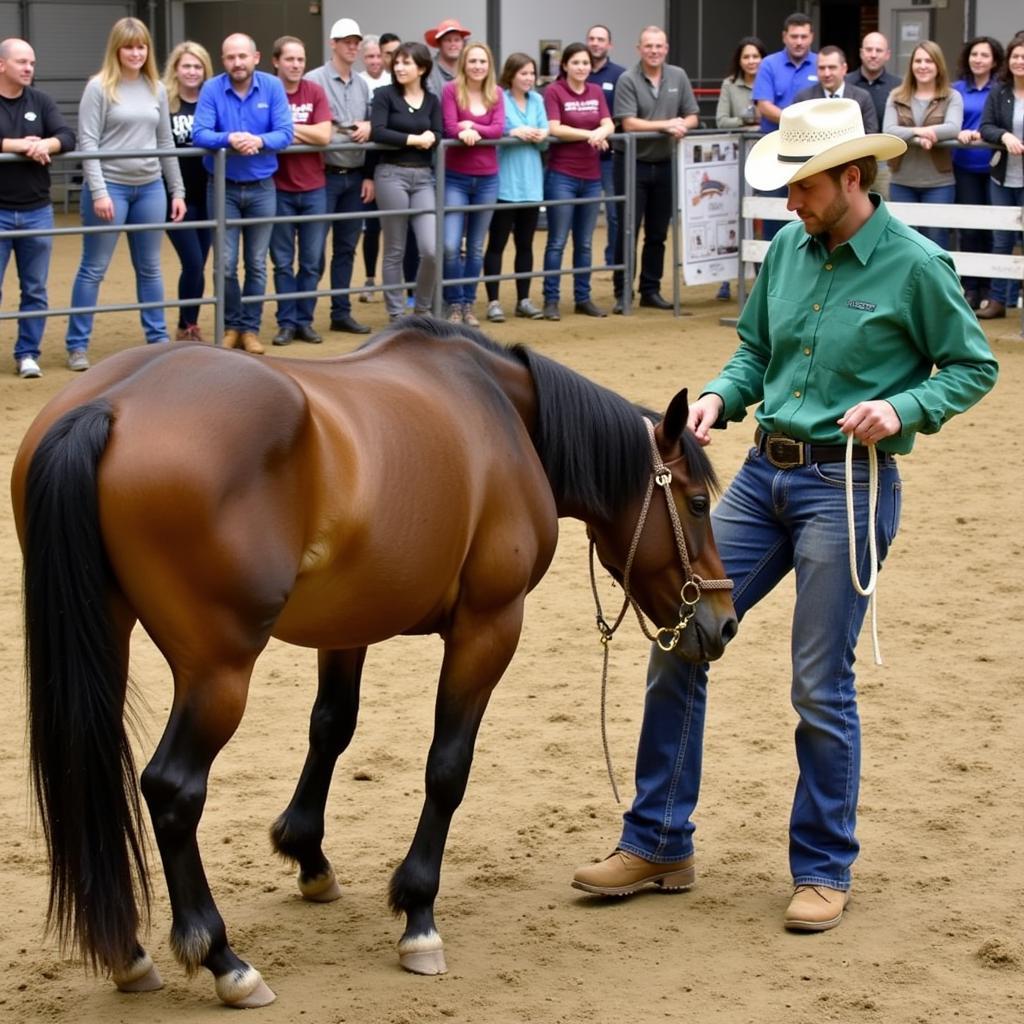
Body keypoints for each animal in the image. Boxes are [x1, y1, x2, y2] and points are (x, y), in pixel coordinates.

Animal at [14, 317, 737, 1007]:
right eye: (699, 502)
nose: (723, 620)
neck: (502, 415)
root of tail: (111, 404)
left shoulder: (347, 624)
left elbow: (331, 727)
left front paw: (307, 856)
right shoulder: (489, 625)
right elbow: (447, 768)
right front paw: (418, 916)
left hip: (108, 636)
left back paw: (127, 953)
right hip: (218, 671)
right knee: (172, 788)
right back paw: (223, 959)